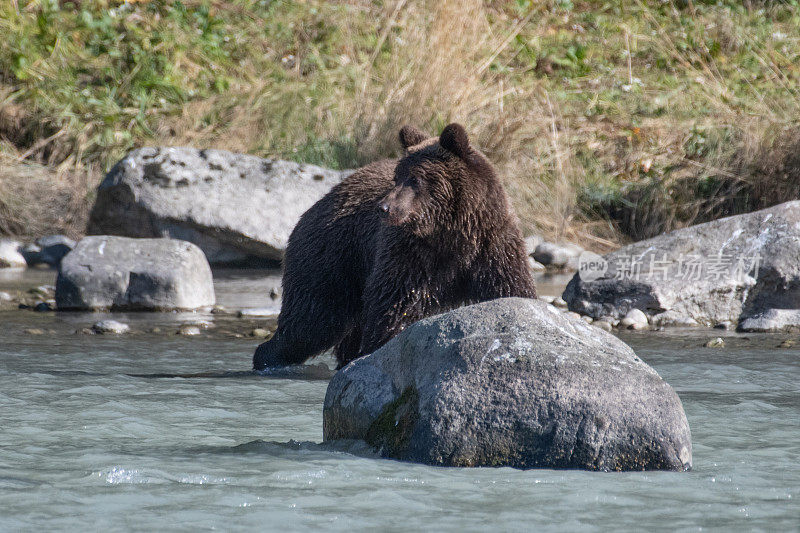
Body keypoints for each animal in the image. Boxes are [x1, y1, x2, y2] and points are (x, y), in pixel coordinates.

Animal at [253, 122, 536, 368]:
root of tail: (319, 202)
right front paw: (381, 348)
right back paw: (268, 358)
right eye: (397, 176)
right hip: (332, 258)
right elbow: (395, 304)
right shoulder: (409, 254)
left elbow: (511, 289)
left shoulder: (492, 246)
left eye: (415, 179)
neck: (451, 234)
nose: (384, 207)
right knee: (311, 319)